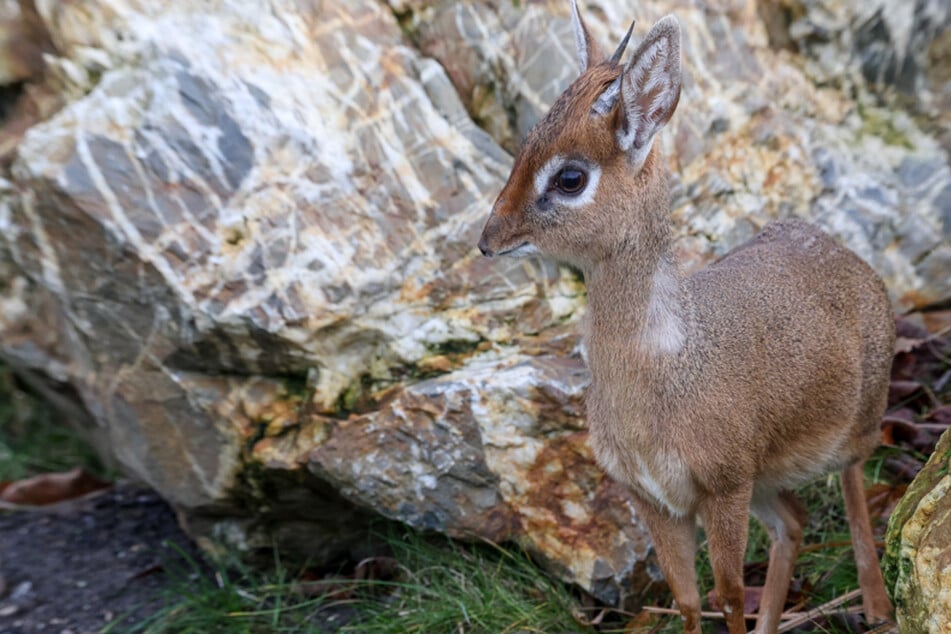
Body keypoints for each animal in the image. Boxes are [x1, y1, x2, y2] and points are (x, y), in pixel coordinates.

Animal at [480, 2, 896, 628]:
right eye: (525, 142)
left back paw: (877, 604)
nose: (488, 238)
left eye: (570, 176)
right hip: (766, 482)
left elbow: (729, 593)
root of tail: (847, 257)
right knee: (794, 523)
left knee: (853, 482)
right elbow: (688, 599)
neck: (659, 374)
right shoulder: (654, 500)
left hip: (854, 428)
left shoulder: (722, 488)